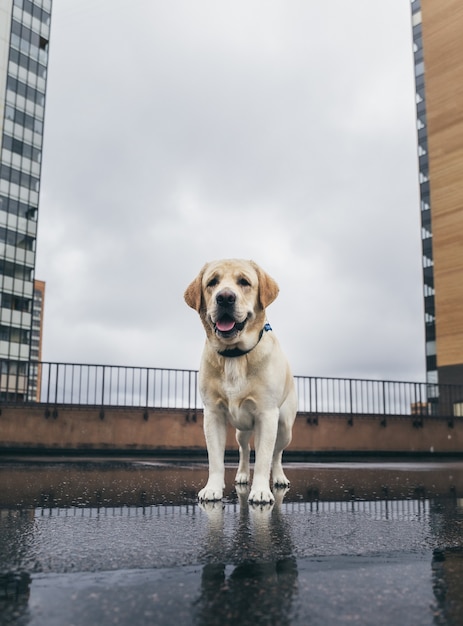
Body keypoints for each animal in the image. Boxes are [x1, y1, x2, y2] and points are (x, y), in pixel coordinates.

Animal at [185, 258, 298, 502]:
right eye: (212, 282)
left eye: (244, 282)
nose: (225, 297)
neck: (234, 355)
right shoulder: (213, 415)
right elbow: (215, 459)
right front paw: (213, 488)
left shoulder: (267, 415)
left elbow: (264, 457)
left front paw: (261, 490)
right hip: (241, 431)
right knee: (244, 450)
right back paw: (243, 475)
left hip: (285, 427)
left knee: (277, 454)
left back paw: (279, 477)